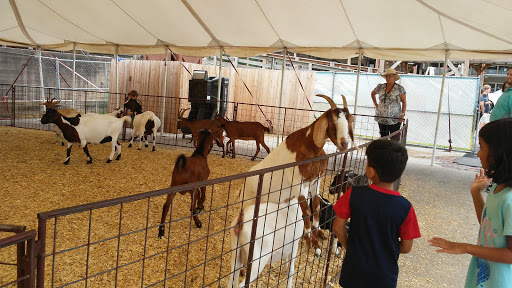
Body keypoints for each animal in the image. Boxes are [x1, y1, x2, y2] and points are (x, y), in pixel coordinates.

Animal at [239, 94, 356, 250]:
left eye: (349, 119)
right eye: (332, 120)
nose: (344, 144)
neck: (309, 147)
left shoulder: (315, 181)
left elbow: (316, 206)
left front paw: (317, 232)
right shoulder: (297, 183)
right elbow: (306, 211)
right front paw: (310, 239)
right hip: (248, 201)